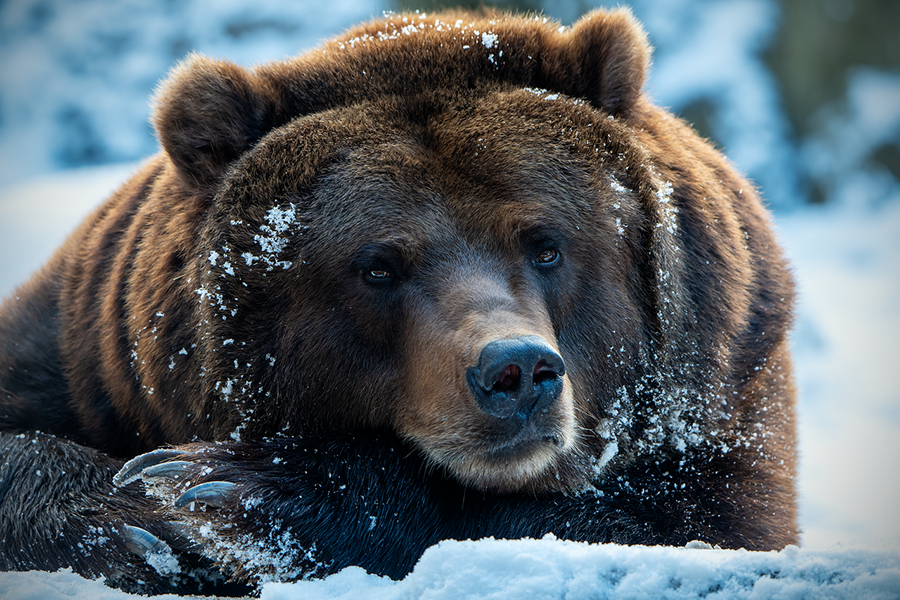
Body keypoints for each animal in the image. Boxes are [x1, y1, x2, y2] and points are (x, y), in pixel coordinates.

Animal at [0, 7, 798, 595]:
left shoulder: (728, 380)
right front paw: (134, 521)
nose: (516, 372)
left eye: (546, 244)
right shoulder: (90, 352)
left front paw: (229, 488)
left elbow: (689, 525)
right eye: (378, 266)